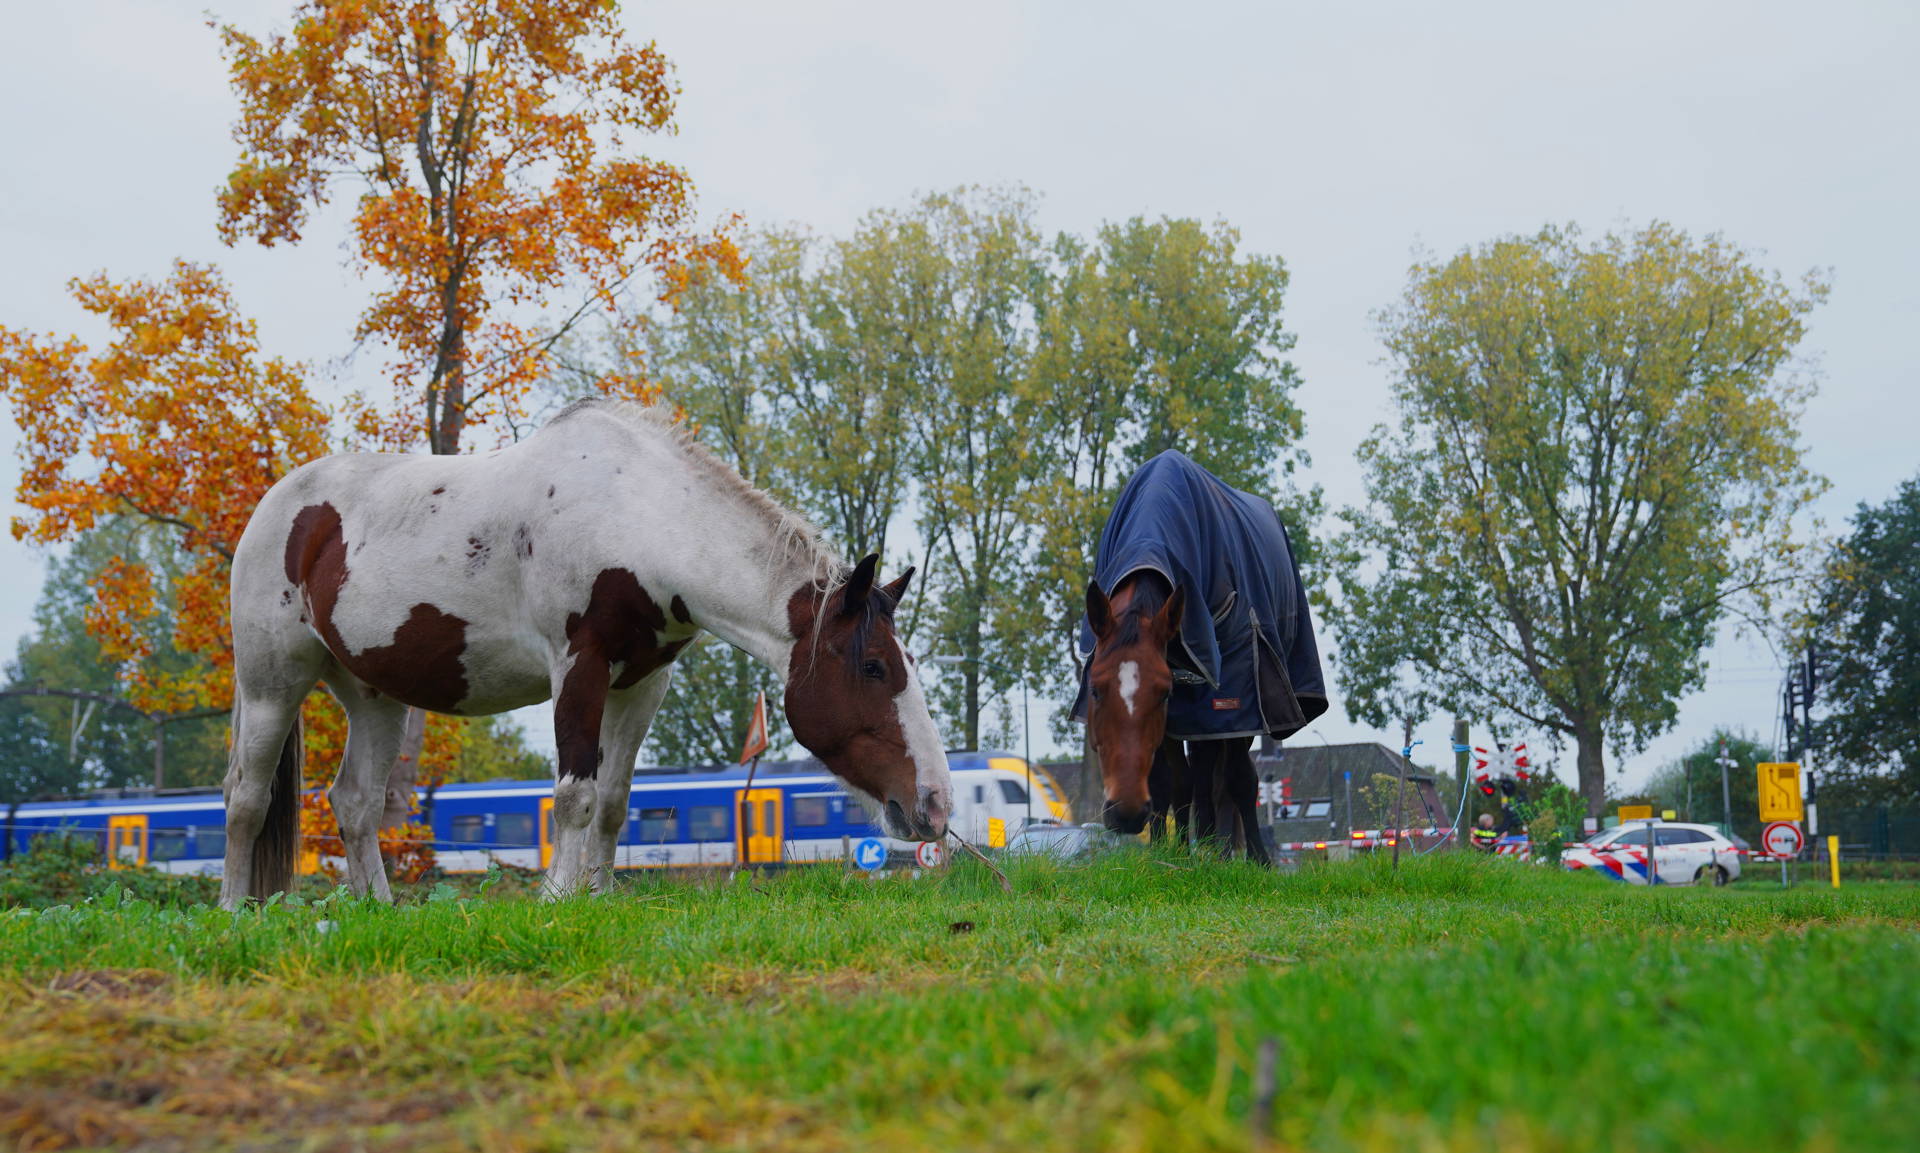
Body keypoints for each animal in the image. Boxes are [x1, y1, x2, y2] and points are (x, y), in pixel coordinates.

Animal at [221, 397, 952, 908]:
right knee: (246, 797)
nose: (936, 806)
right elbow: (574, 792)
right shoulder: (579, 664)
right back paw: (233, 912)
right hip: (272, 682)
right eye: (874, 666)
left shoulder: (643, 682)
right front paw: (557, 899)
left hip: (373, 695)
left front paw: (598, 897)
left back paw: (377, 909)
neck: (638, 516)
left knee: (355, 804)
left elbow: (614, 798)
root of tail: (277, 504)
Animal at [1074, 450, 1327, 864]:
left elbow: (1226, 779)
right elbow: (1169, 781)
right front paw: (1166, 852)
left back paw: (1229, 850)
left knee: (1231, 778)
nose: (1127, 813)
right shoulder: (1177, 716)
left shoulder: (1223, 701)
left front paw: (1230, 854)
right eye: (1095, 689)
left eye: (1162, 693)